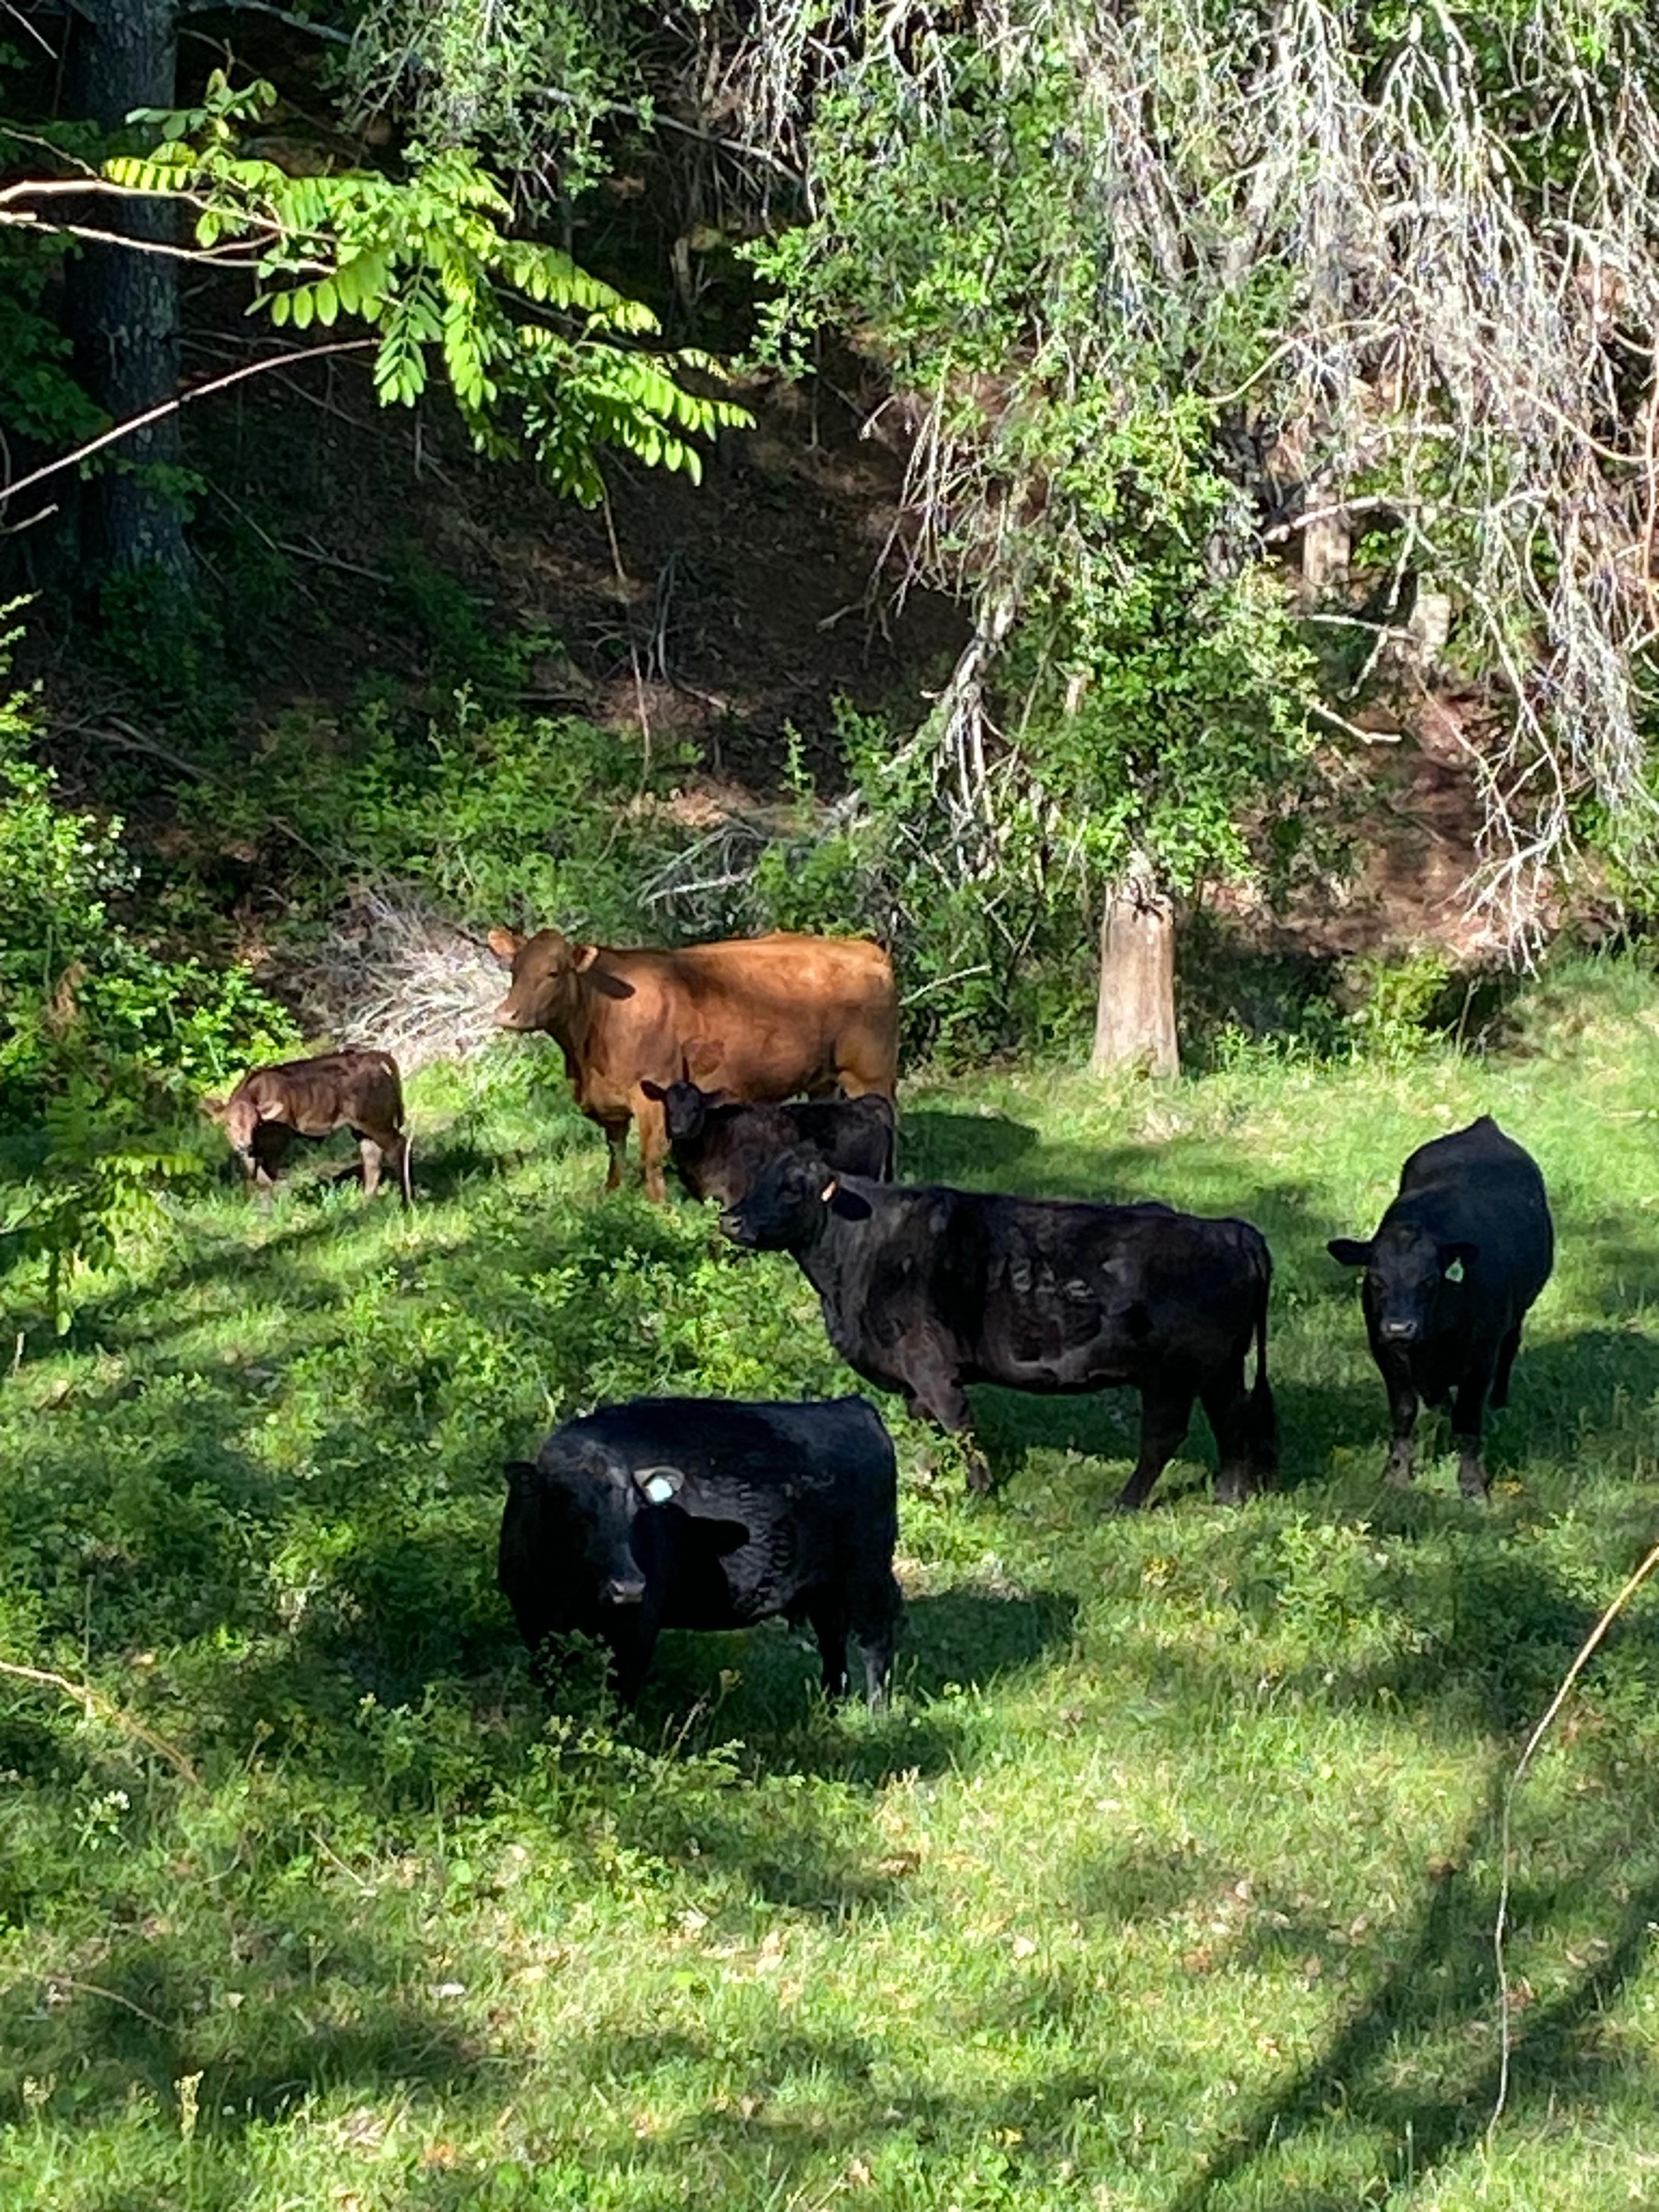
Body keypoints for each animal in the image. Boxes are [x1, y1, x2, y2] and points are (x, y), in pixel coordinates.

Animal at [202, 1048, 412, 1205]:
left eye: (256, 1124)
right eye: (228, 1123)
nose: (244, 1144)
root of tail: (372, 1057)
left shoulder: (277, 1140)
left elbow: (267, 1175)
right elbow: (255, 1175)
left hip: (376, 1122)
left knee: (398, 1145)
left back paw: (406, 1202)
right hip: (362, 1127)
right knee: (372, 1158)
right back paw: (366, 1202)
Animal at [498, 1395, 901, 1707]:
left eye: (637, 1509)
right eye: (570, 1505)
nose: (628, 1588)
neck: (565, 1587)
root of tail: (851, 1406)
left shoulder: (639, 1625)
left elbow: (621, 1694)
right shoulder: (532, 1621)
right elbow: (549, 1687)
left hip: (868, 1575)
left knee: (873, 1641)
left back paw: (875, 1715)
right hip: (825, 1587)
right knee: (833, 1639)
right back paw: (829, 1706)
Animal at [719, 1148, 1277, 1508]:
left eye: (793, 1189)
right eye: (755, 1180)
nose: (731, 1221)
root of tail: (1230, 1229)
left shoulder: (929, 1363)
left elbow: (957, 1424)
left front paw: (979, 1492)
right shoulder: (911, 1379)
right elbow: (927, 1425)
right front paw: (930, 1476)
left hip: (1171, 1375)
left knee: (1165, 1436)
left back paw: (1125, 1502)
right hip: (1220, 1368)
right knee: (1231, 1420)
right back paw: (1230, 1496)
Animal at [1327, 1114, 1553, 1498]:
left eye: (1430, 1280)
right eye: (1376, 1280)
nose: (1400, 1327)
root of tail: (1484, 1127)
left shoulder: (1480, 1356)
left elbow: (1468, 1418)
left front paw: (1473, 1485)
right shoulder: (1385, 1351)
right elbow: (1404, 1411)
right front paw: (1396, 1474)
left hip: (1518, 1313)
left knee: (1511, 1347)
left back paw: (1500, 1401)